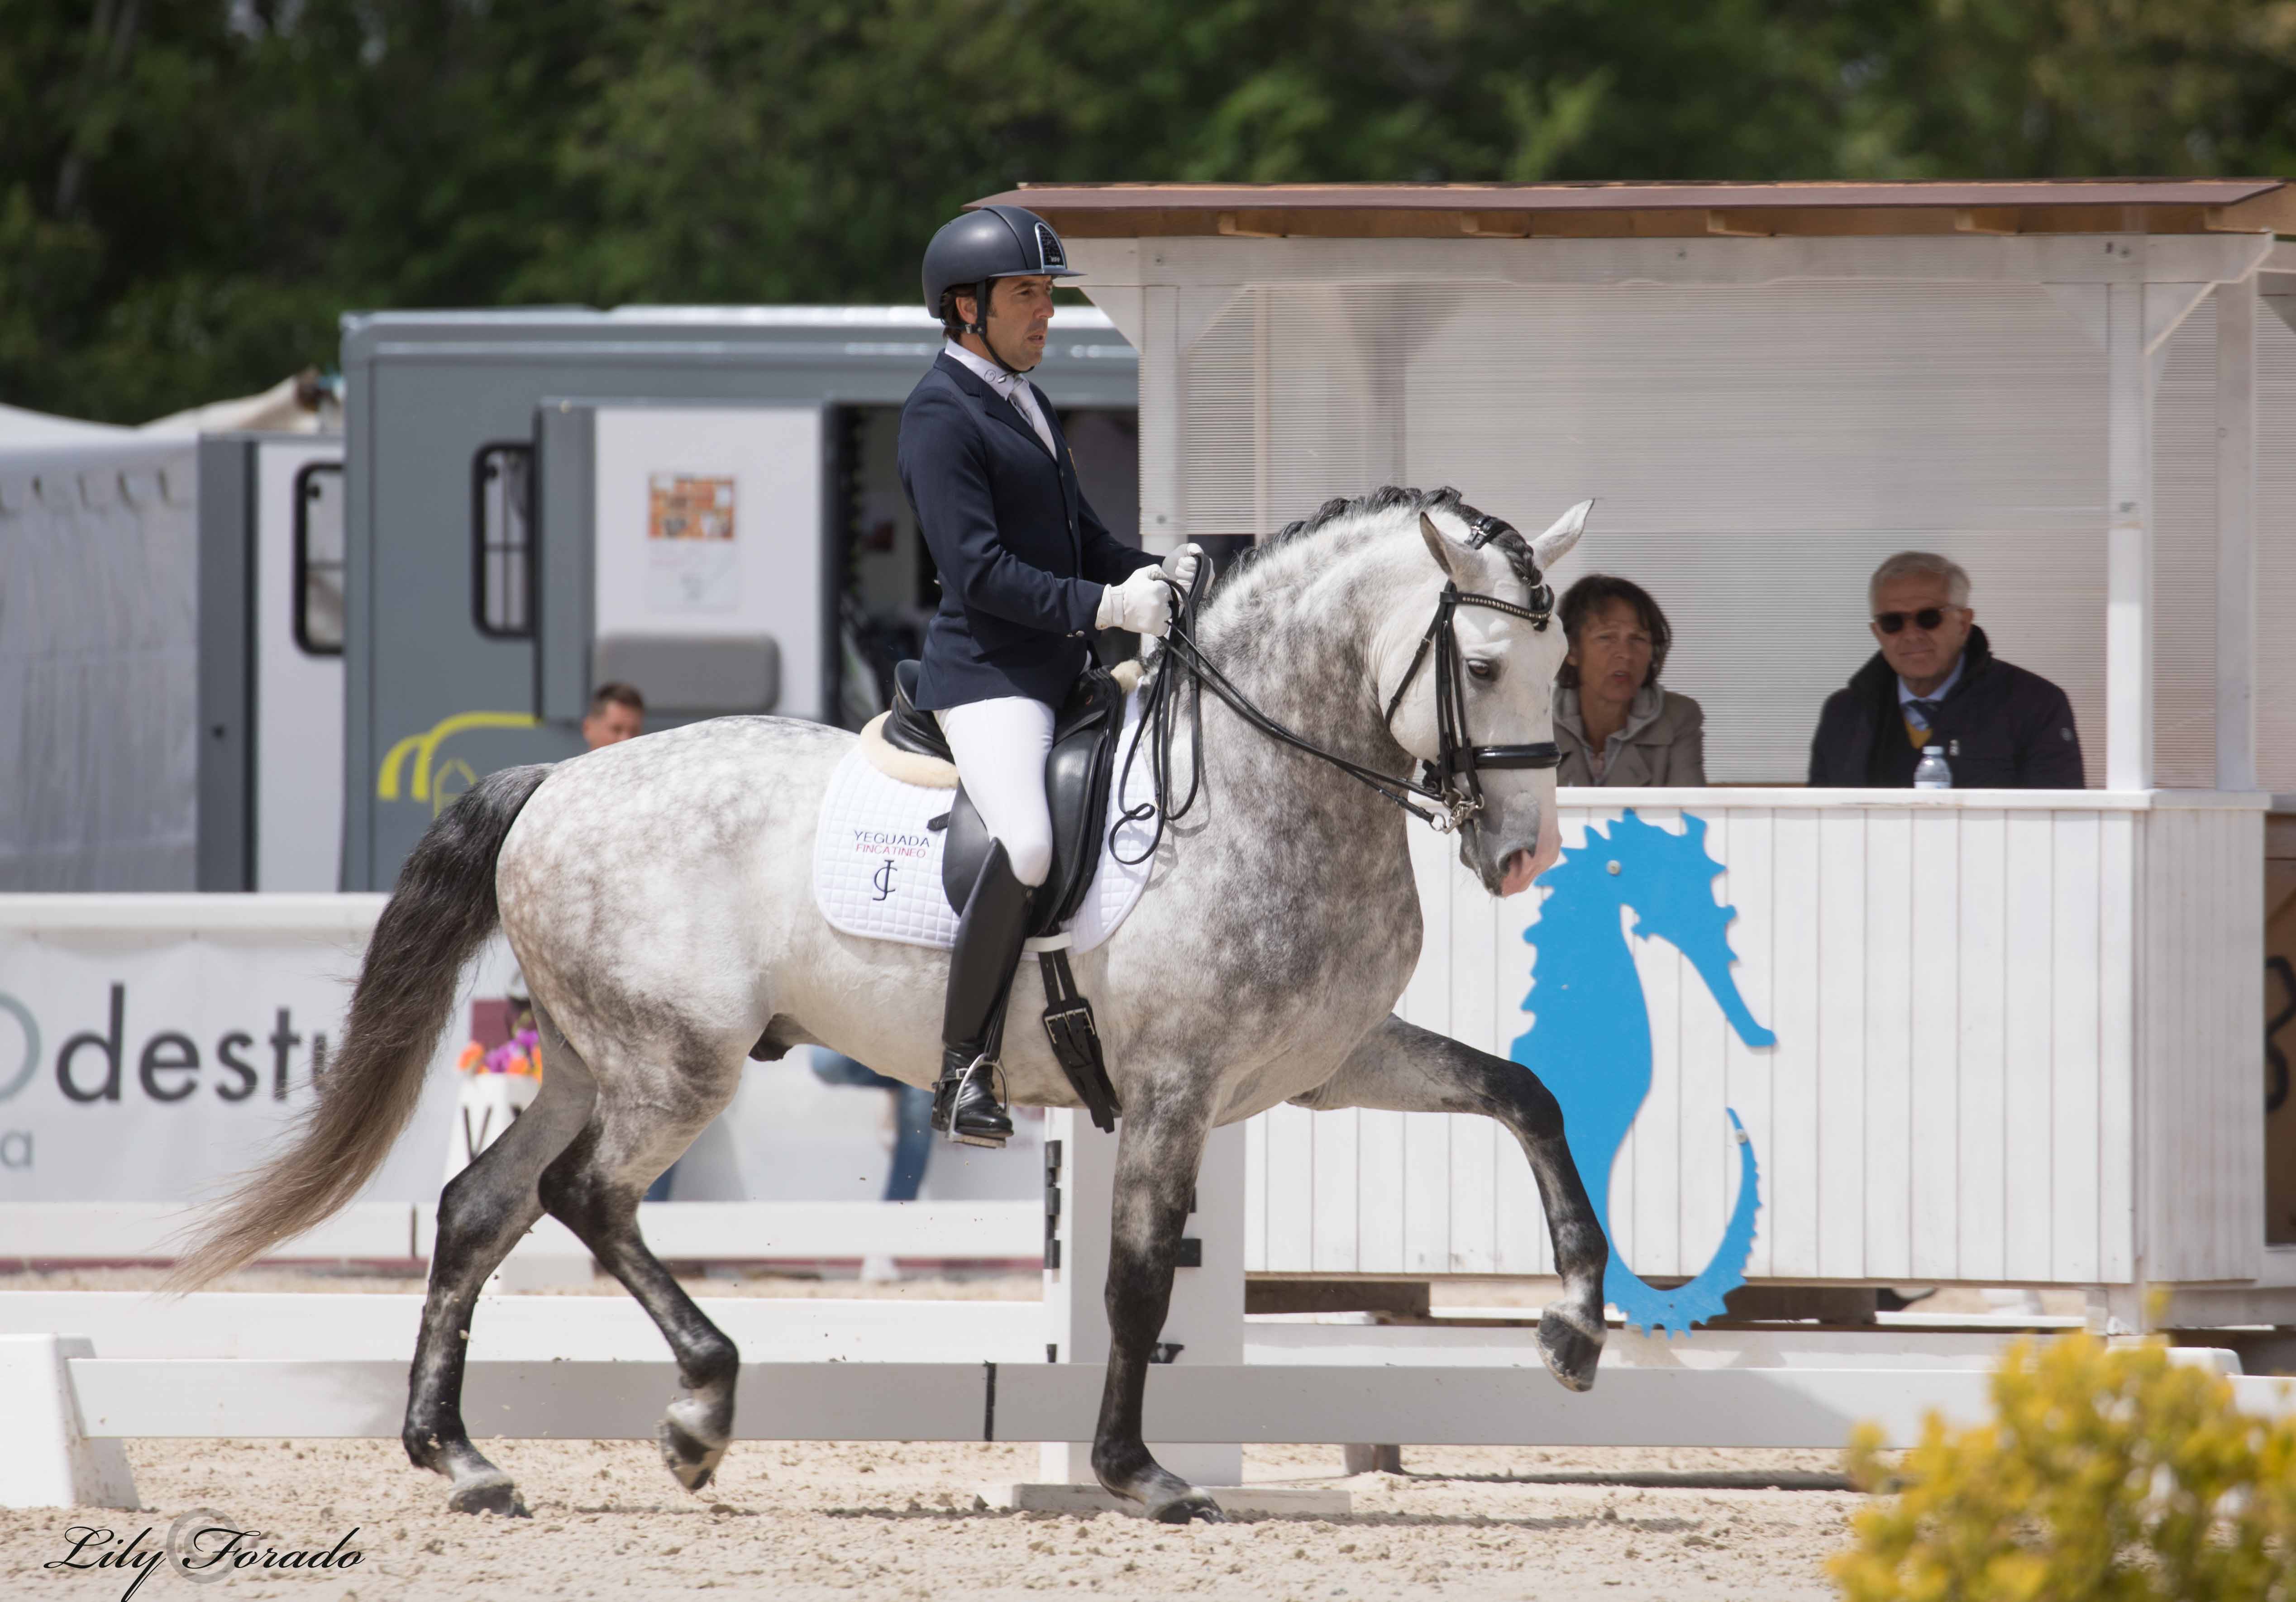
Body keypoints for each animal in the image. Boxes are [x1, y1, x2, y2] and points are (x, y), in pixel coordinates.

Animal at [174, 479, 1616, 1515]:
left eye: (1557, 663)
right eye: (1482, 666)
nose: (1523, 854)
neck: (1264, 786)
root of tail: (554, 782)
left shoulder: (1330, 1062)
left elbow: (1527, 1097)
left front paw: (1572, 1330)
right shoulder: (1173, 1089)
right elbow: (1140, 1282)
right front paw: (1138, 1474)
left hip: (595, 1056)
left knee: (484, 1205)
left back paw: (460, 1457)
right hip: (677, 1062)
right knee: (588, 1196)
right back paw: (697, 1412)